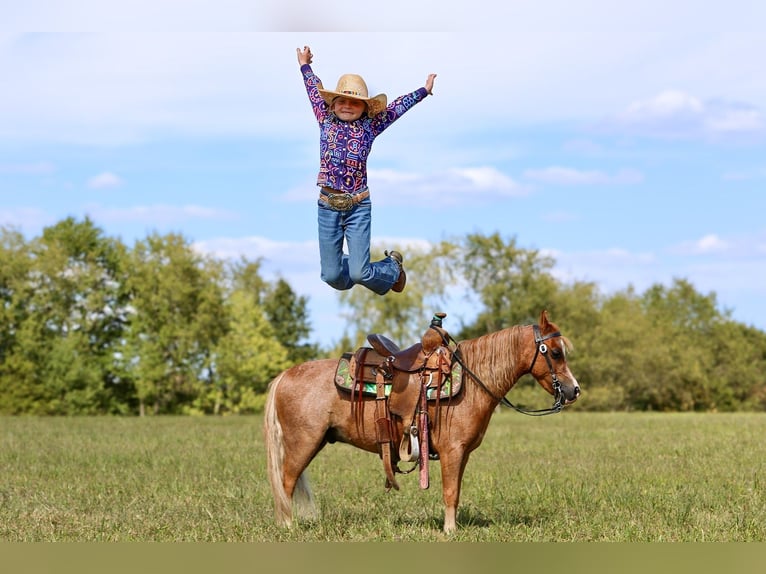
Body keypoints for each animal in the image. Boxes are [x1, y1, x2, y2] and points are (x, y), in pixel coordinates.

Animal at [264, 310, 580, 533]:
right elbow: (450, 491)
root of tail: (285, 376)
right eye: (555, 353)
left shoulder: (462, 454)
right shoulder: (453, 451)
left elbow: (456, 491)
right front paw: (450, 531)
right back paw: (287, 526)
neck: (471, 381)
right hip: (303, 444)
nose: (573, 390)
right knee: (286, 482)